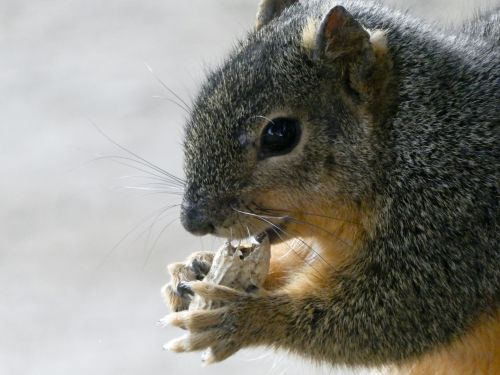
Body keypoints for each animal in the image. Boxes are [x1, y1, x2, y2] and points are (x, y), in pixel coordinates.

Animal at [162, 1, 498, 374]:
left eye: (280, 134)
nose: (192, 221)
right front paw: (196, 268)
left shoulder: (453, 231)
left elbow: (391, 320)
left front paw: (240, 317)